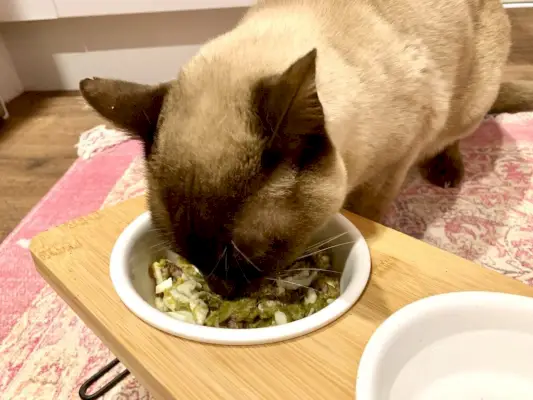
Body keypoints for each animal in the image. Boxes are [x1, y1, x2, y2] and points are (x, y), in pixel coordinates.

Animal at [80, 0, 532, 296]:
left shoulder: (391, 167)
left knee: (456, 135)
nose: (222, 292)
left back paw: (447, 171)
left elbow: (371, 212)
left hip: (470, 104)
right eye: (189, 258)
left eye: (249, 259)